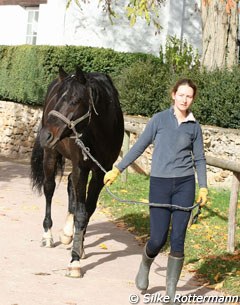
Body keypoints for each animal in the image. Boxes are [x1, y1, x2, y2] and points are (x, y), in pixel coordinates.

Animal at [30, 66, 124, 276]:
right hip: (51, 154)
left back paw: (68, 233)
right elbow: (81, 210)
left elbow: (87, 210)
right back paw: (48, 236)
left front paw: (78, 247)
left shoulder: (100, 172)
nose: (45, 134)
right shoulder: (81, 167)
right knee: (50, 188)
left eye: (74, 101)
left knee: (70, 186)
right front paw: (75, 262)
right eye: (57, 99)